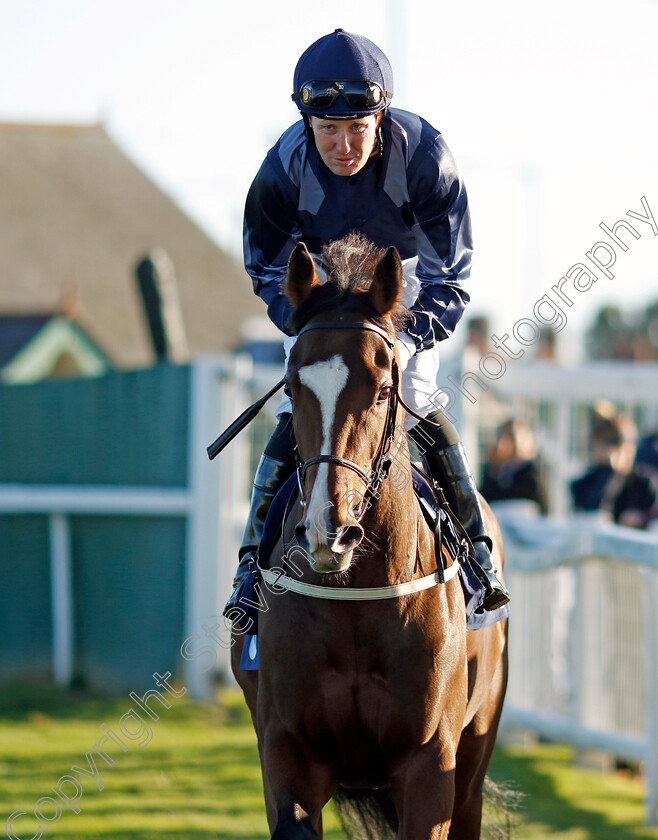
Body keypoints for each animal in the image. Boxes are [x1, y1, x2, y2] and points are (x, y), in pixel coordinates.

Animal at [231, 231, 508, 840]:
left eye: (383, 388)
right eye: (293, 386)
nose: (328, 533)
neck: (356, 601)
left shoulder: (431, 763)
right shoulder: (287, 750)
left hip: (475, 757)